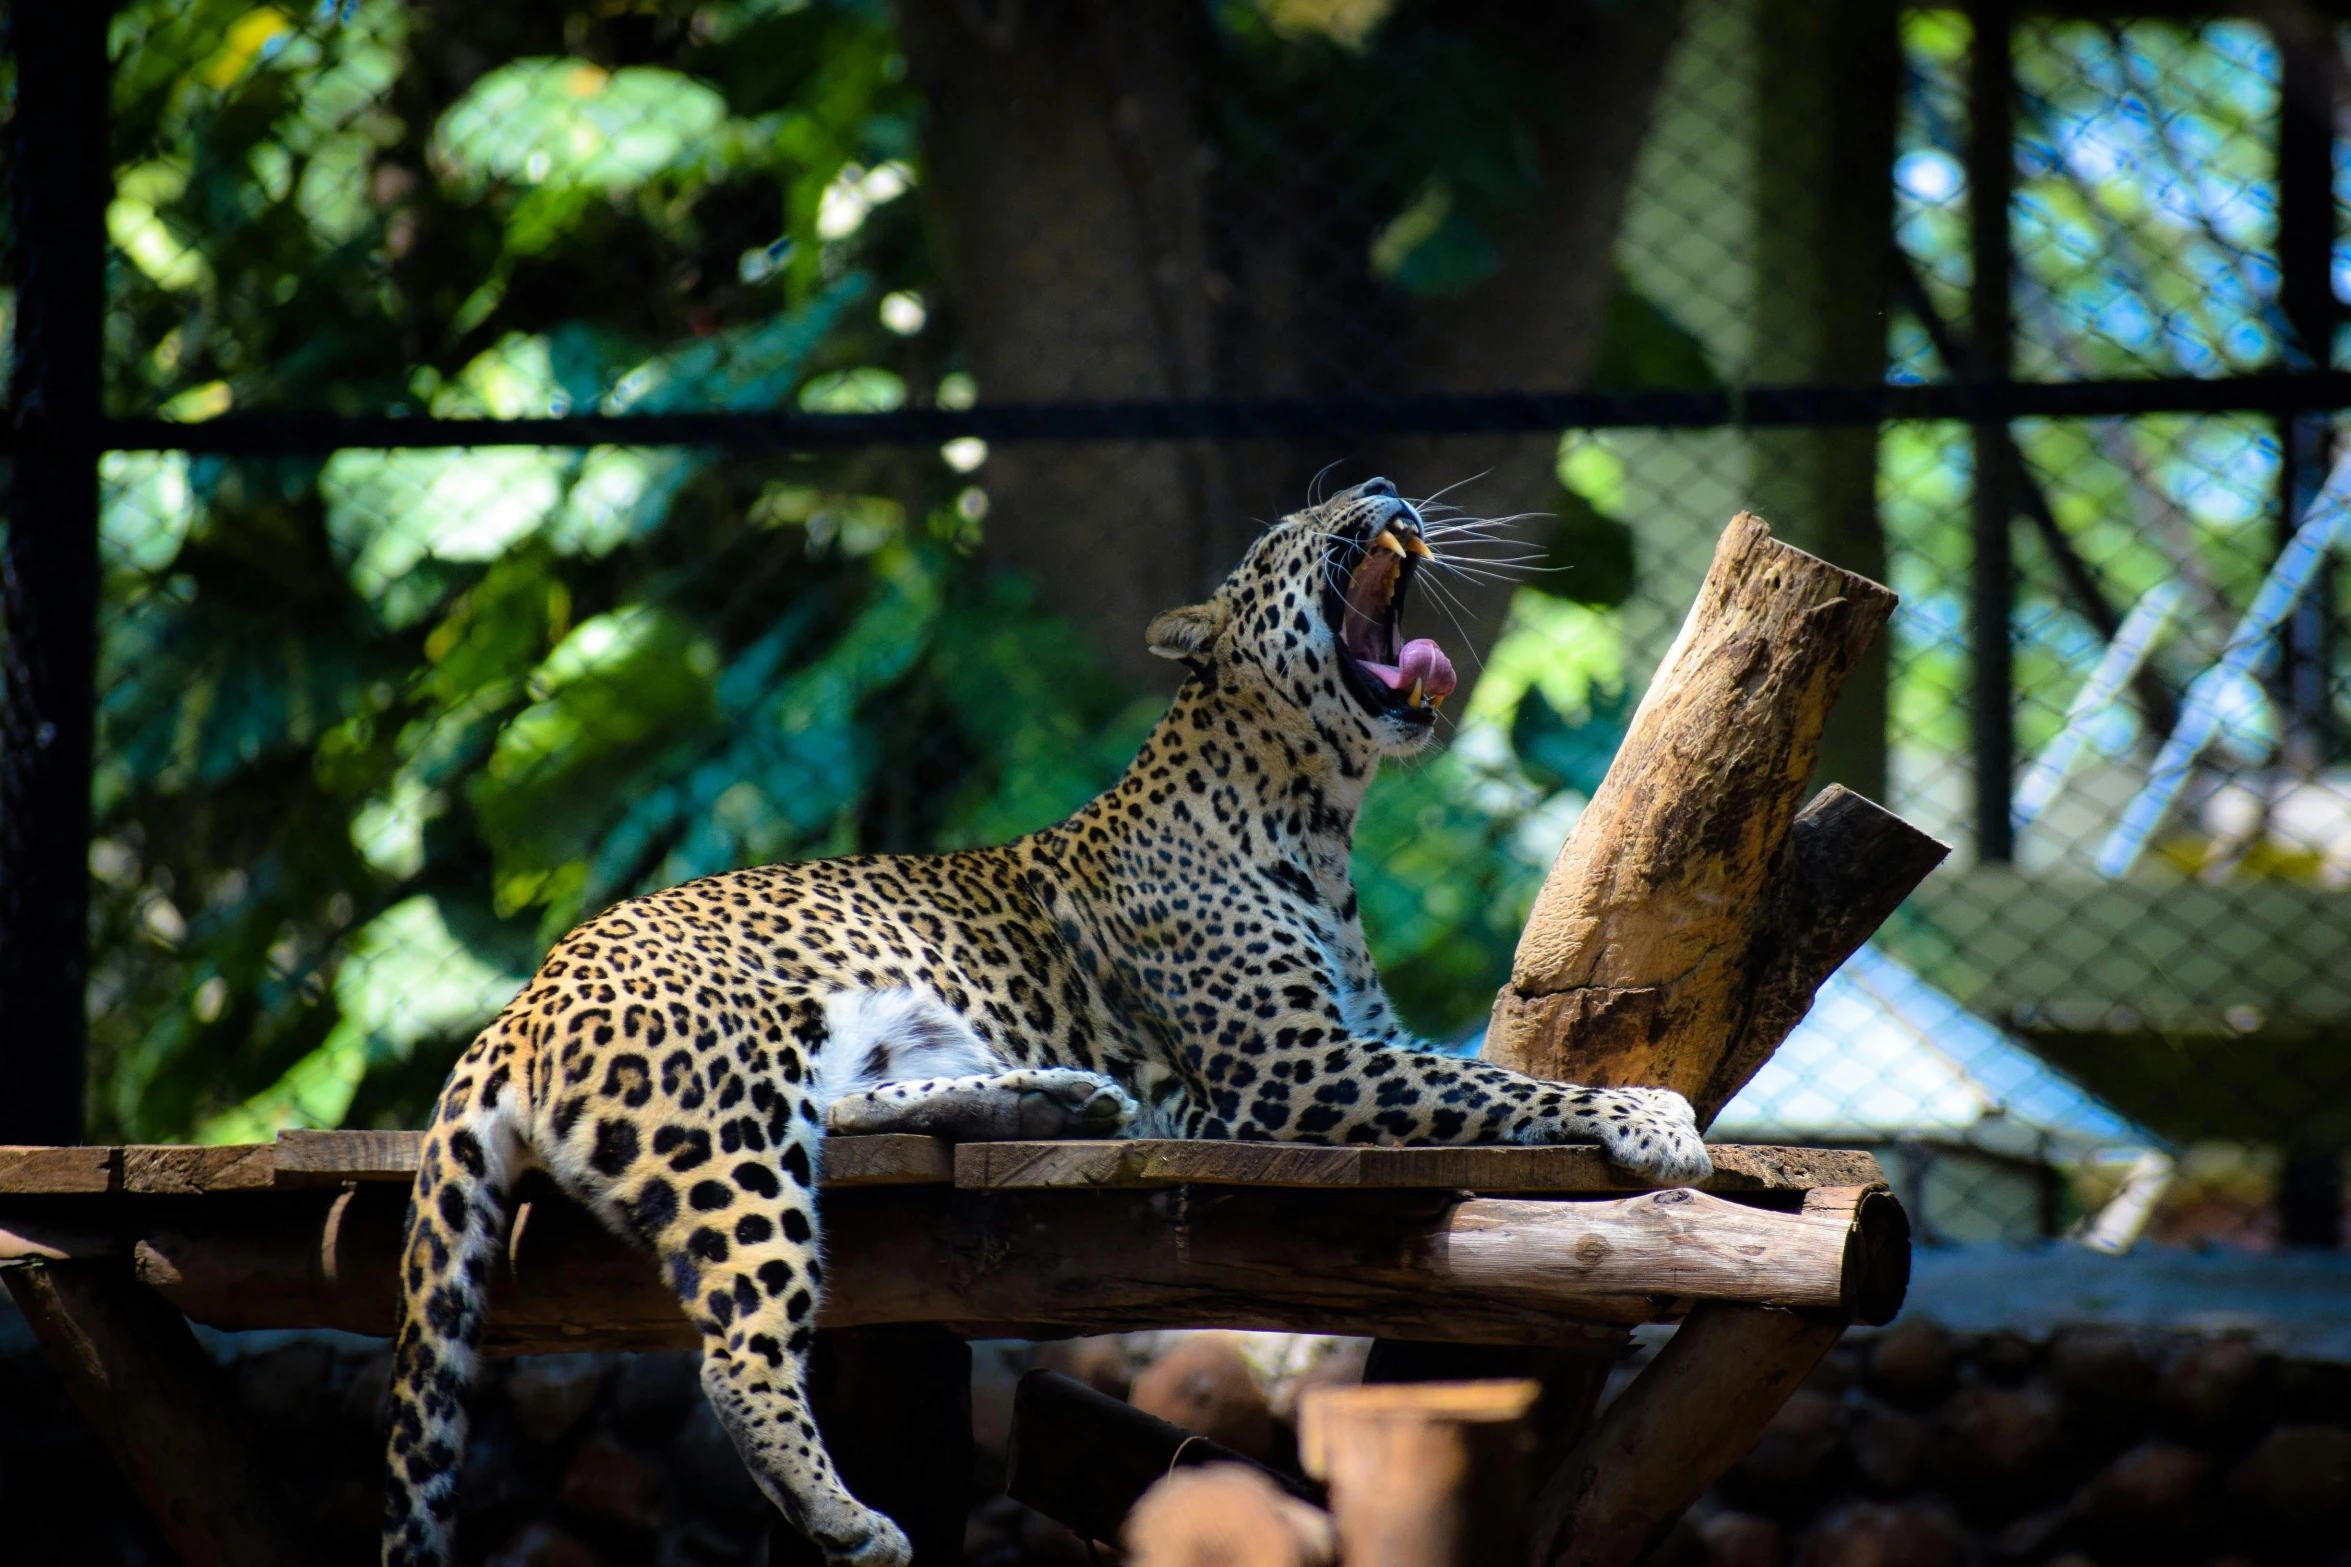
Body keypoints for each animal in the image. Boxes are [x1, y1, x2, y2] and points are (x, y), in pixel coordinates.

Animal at [380, 479, 1711, 1567]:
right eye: (1285, 530)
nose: (1385, 487)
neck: (1318, 814)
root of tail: (519, 1002)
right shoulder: (1295, 1072)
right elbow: (1499, 1089)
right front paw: (1648, 1115)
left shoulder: (1345, 1042)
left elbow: (1474, 1069)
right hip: (726, 1127)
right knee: (738, 1344)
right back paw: (849, 1518)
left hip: (831, 1058)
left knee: (852, 1118)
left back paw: (1055, 1095)